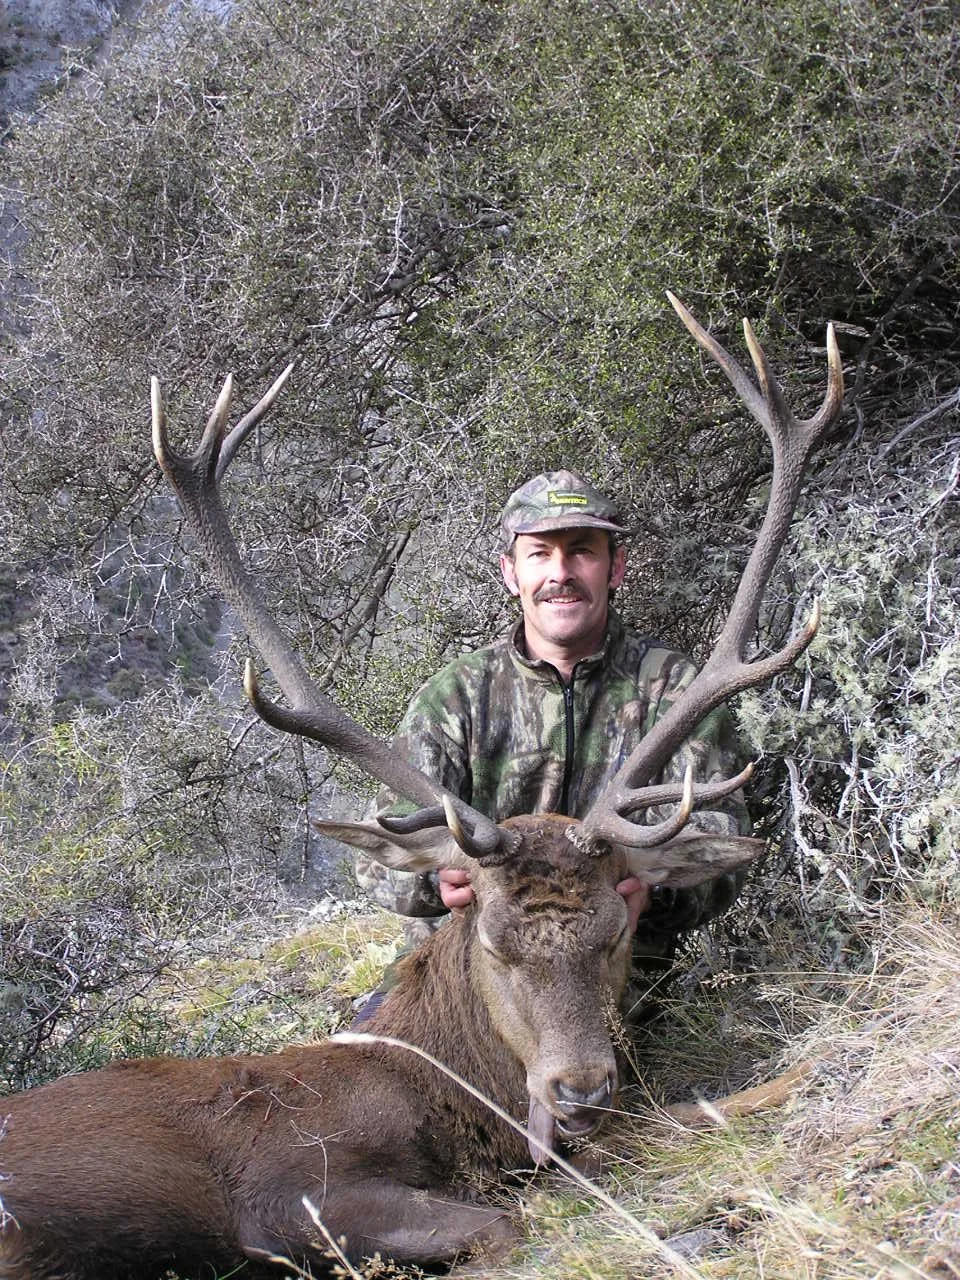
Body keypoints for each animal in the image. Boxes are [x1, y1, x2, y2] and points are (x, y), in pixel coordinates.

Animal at [0, 294, 842, 1280]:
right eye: (495, 944)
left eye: (615, 931)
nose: (581, 1087)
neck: (446, 1103)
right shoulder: (290, 1190)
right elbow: (506, 1225)